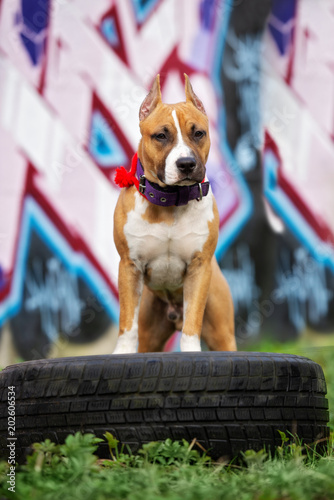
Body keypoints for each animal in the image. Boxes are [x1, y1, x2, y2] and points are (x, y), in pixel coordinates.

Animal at [113, 73, 236, 356]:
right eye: (160, 136)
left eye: (198, 133)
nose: (187, 164)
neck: (170, 202)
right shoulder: (129, 267)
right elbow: (127, 321)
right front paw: (121, 353)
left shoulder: (198, 269)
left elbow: (193, 320)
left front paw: (191, 351)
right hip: (150, 334)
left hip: (223, 334)